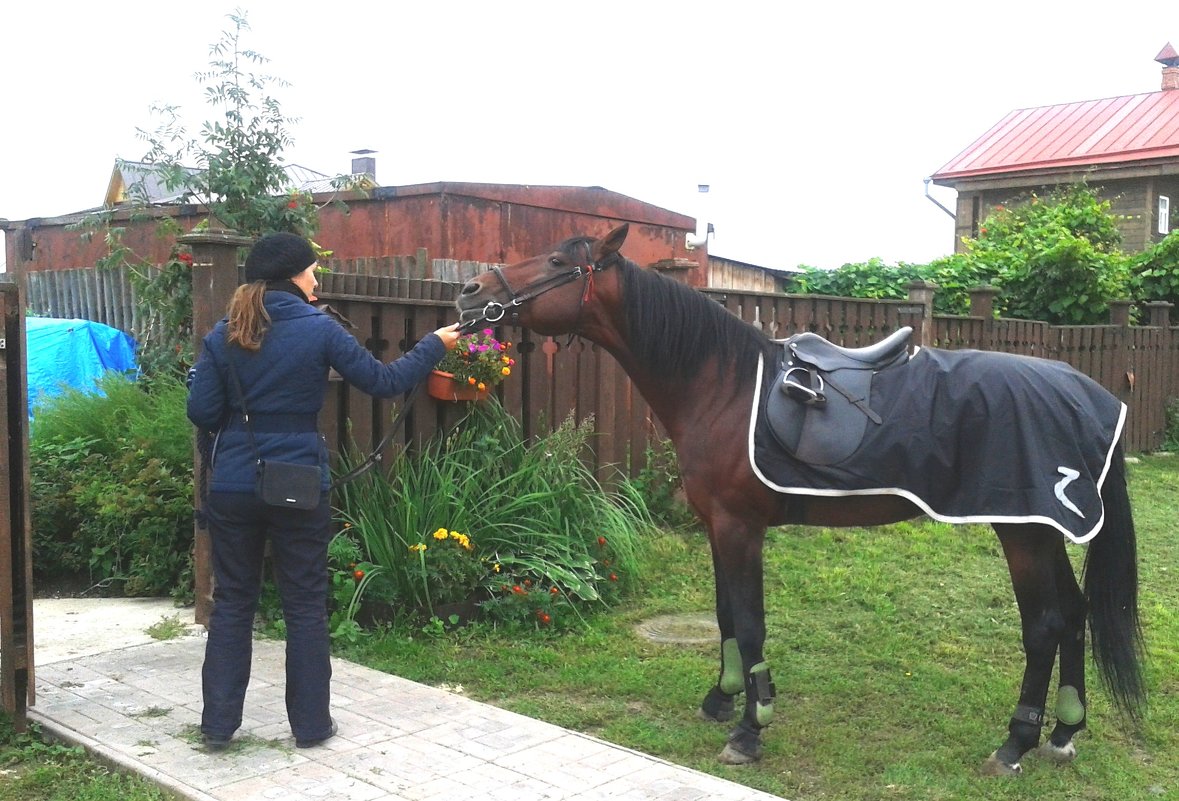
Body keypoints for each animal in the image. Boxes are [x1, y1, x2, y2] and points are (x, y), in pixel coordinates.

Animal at [450, 222, 1141, 773]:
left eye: (558, 261)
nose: (470, 294)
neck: (721, 385)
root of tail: (1085, 393)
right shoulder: (715, 525)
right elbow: (727, 616)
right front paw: (724, 697)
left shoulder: (739, 526)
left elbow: (751, 622)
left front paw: (749, 730)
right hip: (1041, 530)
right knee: (1074, 613)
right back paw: (1064, 732)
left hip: (1021, 531)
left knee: (1045, 625)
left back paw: (1016, 742)